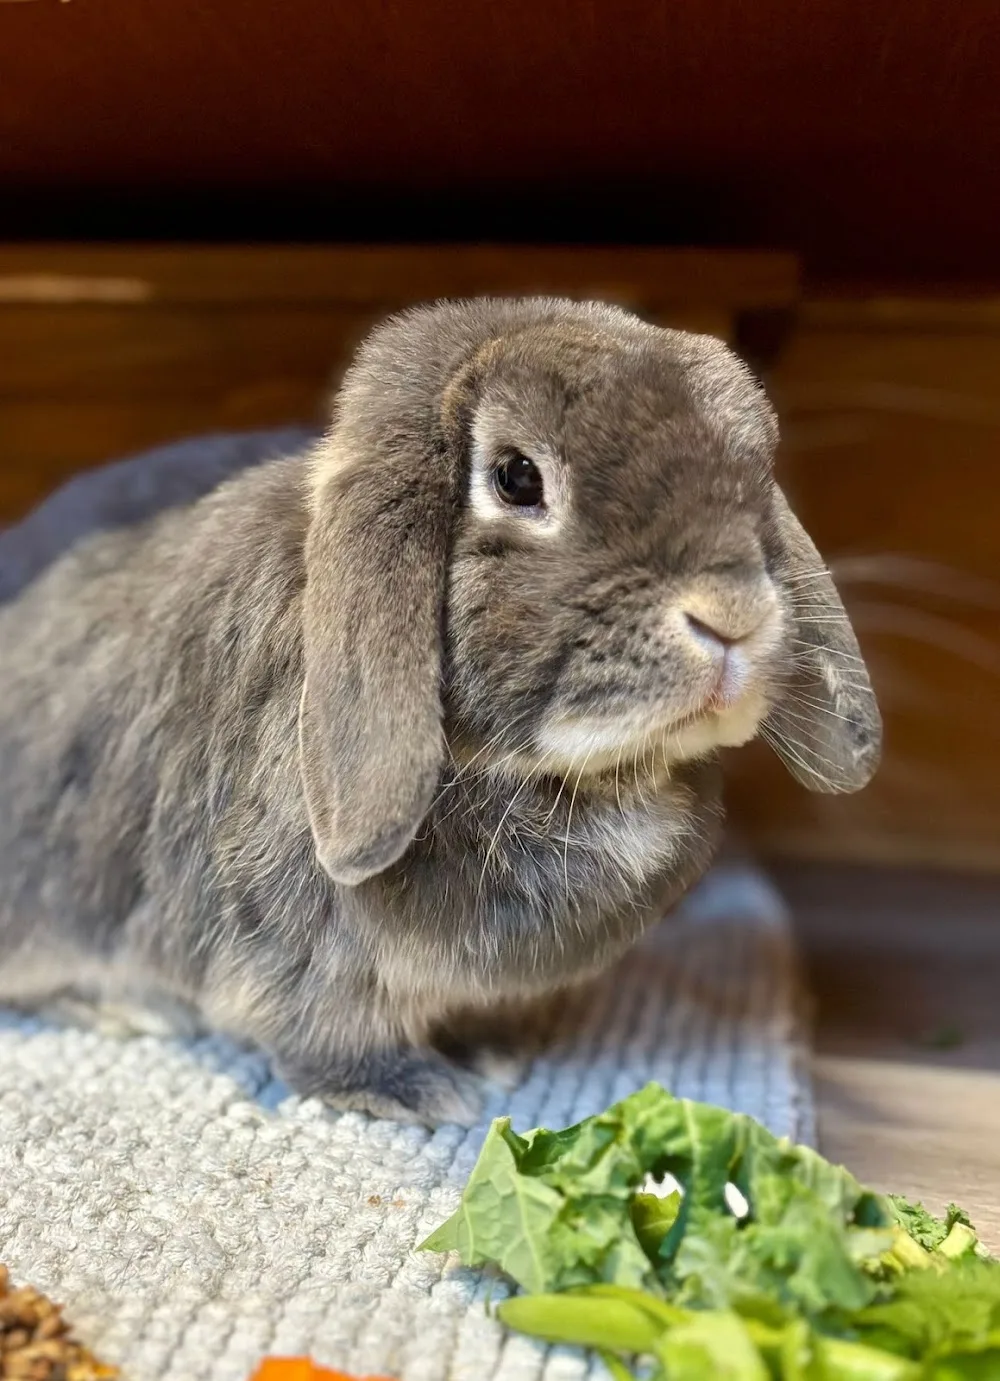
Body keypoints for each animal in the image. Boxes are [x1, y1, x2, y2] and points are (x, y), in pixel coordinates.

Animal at [0, 297, 881, 1125]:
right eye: (517, 477)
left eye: (755, 473)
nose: (734, 613)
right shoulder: (293, 941)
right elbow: (320, 1025)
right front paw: (413, 1089)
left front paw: (494, 1052)